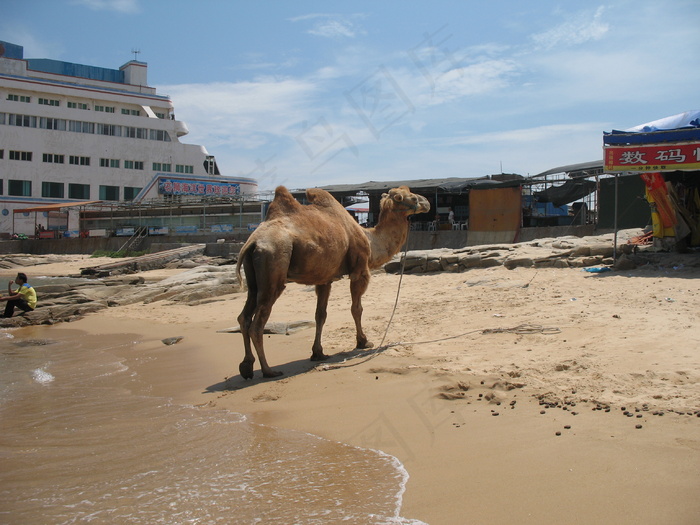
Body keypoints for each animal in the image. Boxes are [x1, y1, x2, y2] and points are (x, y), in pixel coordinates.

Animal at [235, 184, 430, 376]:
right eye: (412, 197)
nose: (427, 202)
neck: (369, 239)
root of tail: (252, 242)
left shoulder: (324, 279)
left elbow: (320, 315)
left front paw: (318, 353)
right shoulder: (360, 270)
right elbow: (356, 309)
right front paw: (363, 342)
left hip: (254, 278)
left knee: (244, 316)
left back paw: (246, 366)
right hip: (274, 263)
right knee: (257, 324)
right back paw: (268, 370)